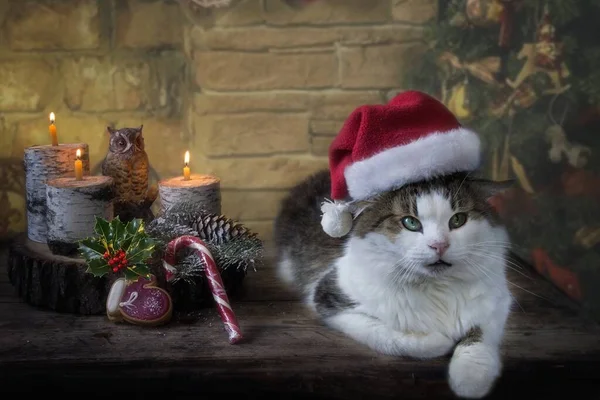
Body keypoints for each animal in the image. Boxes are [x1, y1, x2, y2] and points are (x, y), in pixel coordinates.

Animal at [274, 170, 512, 398]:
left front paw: (470, 378)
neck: (436, 286)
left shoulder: (497, 299)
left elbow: (480, 339)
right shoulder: (330, 298)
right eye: (411, 223)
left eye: (458, 220)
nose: (439, 245)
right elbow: (391, 336)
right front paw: (441, 341)